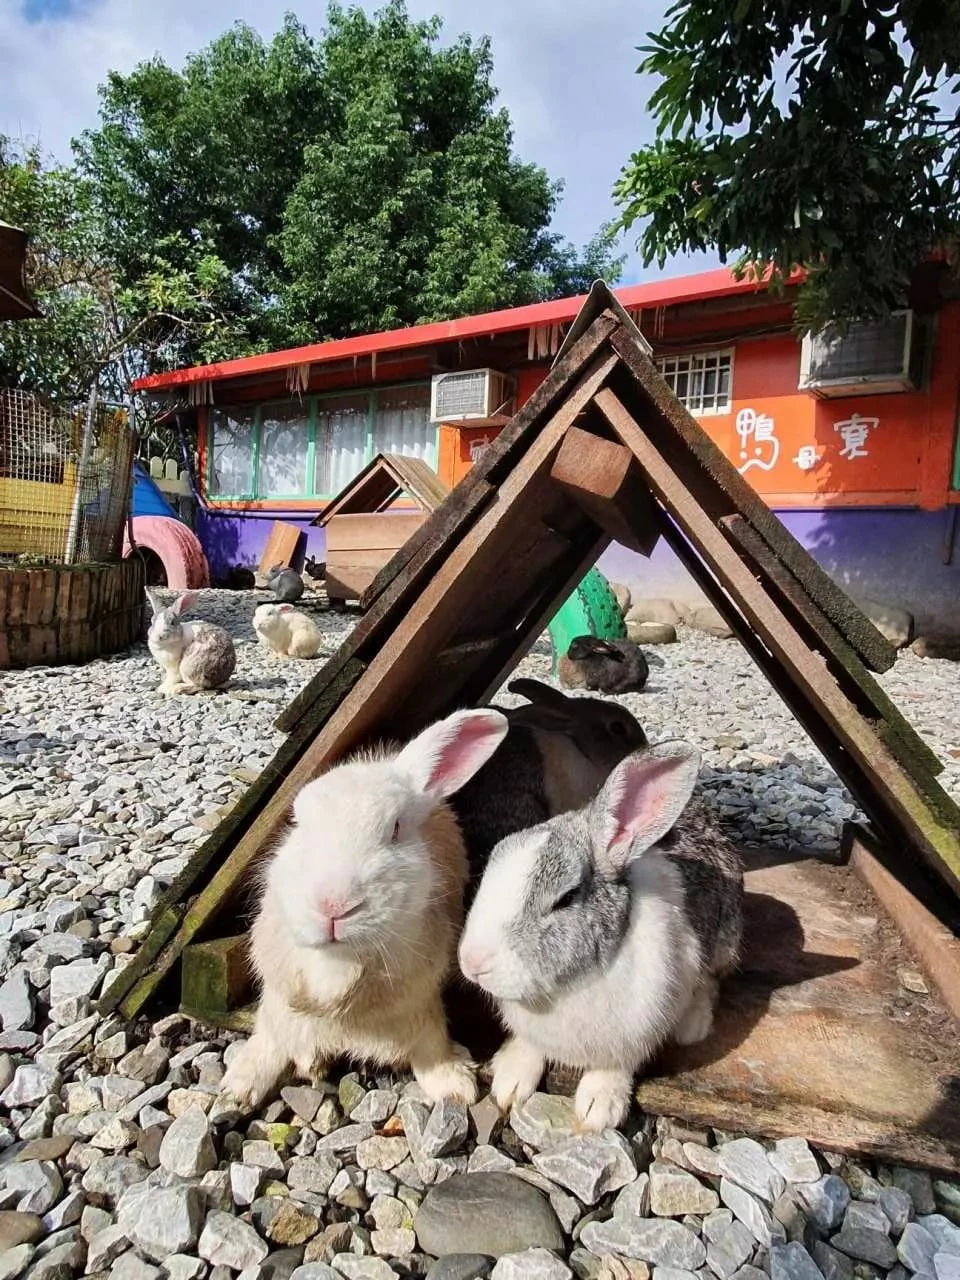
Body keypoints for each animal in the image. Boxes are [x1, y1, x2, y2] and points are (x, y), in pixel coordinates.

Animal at [219, 707, 510, 1112]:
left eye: (397, 828)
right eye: (297, 822)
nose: (333, 905)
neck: (341, 958)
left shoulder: (422, 1004)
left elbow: (431, 1043)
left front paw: (455, 1086)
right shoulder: (280, 994)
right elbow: (277, 1028)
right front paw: (242, 1088)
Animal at [458, 742, 743, 1132]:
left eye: (565, 898)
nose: (472, 963)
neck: (566, 987)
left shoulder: (638, 1032)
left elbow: (616, 1066)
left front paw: (599, 1109)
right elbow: (529, 1048)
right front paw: (509, 1082)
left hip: (724, 942)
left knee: (712, 981)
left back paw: (693, 1026)